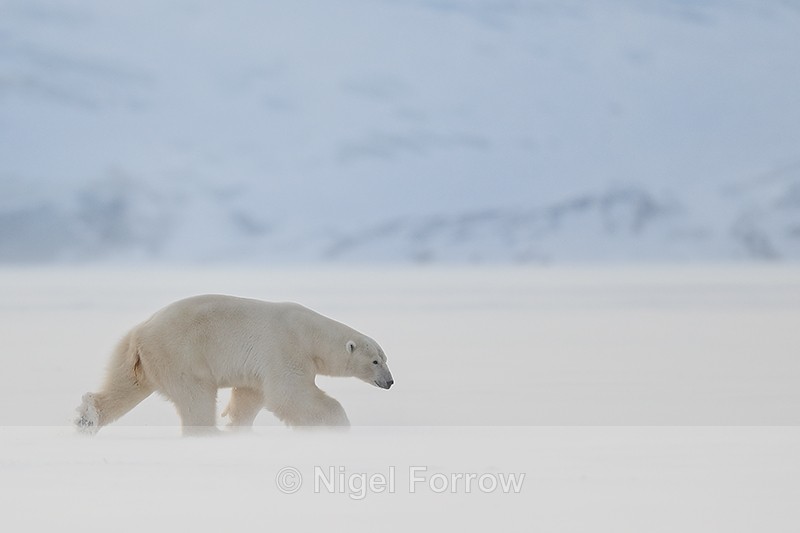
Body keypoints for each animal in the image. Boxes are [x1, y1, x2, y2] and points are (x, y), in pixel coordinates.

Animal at [74, 294, 394, 435]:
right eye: (375, 360)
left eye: (386, 359)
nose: (390, 382)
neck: (309, 333)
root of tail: (140, 333)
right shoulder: (284, 348)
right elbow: (289, 394)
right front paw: (337, 424)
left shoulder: (260, 366)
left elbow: (252, 395)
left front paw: (238, 426)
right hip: (180, 354)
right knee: (196, 395)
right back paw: (207, 433)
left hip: (137, 357)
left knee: (125, 386)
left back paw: (87, 418)